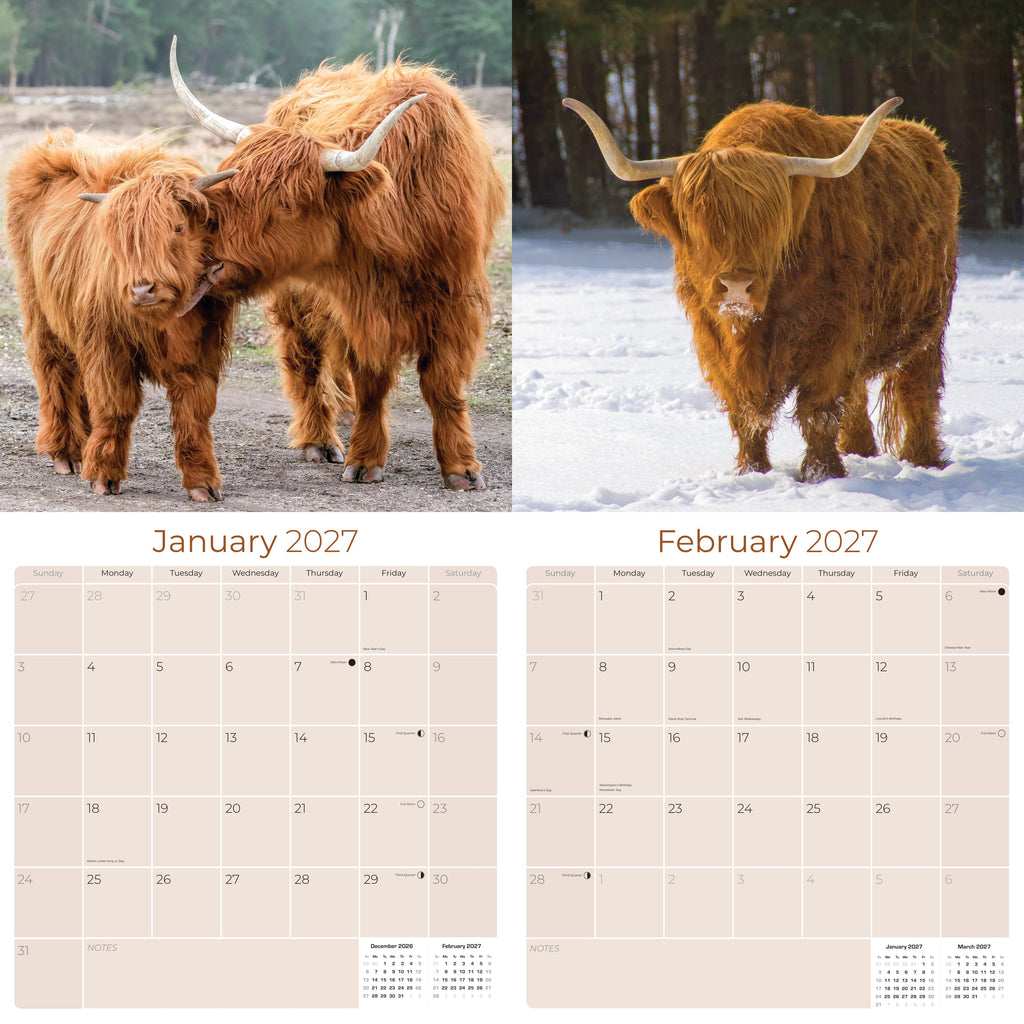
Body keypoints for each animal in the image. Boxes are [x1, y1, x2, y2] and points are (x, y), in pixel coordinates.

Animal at [5, 128, 237, 499]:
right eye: (122, 238)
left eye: (177, 228)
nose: (143, 290)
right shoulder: (107, 344)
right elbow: (115, 404)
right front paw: (102, 475)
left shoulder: (201, 350)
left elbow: (194, 410)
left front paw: (202, 483)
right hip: (39, 310)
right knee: (54, 371)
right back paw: (65, 453)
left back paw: (83, 445)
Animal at [170, 37, 507, 490]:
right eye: (227, 180)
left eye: (287, 203)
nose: (205, 257)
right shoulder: (360, 307)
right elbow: (372, 381)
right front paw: (364, 460)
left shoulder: (456, 302)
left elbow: (443, 384)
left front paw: (462, 468)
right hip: (297, 302)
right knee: (306, 363)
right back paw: (320, 439)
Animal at [562, 96, 960, 481]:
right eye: (696, 221)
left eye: (770, 223)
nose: (737, 285)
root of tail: (928, 140)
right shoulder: (713, 338)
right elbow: (743, 412)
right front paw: (750, 471)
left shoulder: (836, 335)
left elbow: (818, 410)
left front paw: (822, 473)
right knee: (859, 393)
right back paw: (858, 450)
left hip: (929, 323)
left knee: (918, 390)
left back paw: (923, 460)